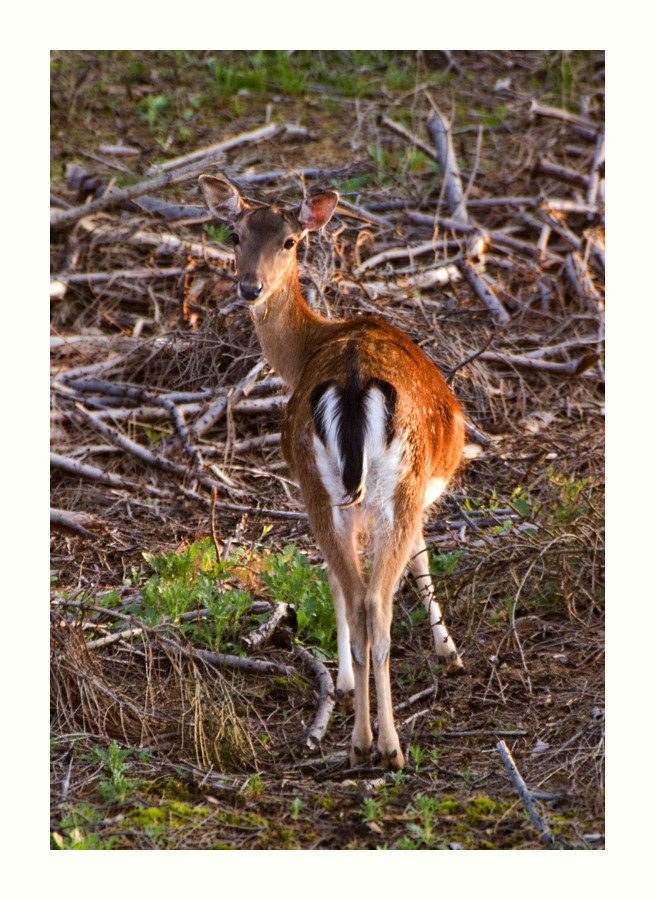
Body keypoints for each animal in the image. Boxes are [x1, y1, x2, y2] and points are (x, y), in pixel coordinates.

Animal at [200, 178, 466, 772]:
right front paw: (449, 653)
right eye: (234, 234)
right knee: (372, 605)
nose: (249, 287)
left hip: (321, 486)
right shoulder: (406, 497)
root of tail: (350, 382)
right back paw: (383, 745)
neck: (308, 348)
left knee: (355, 592)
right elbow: (418, 560)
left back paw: (359, 739)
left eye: (290, 241)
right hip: (388, 488)